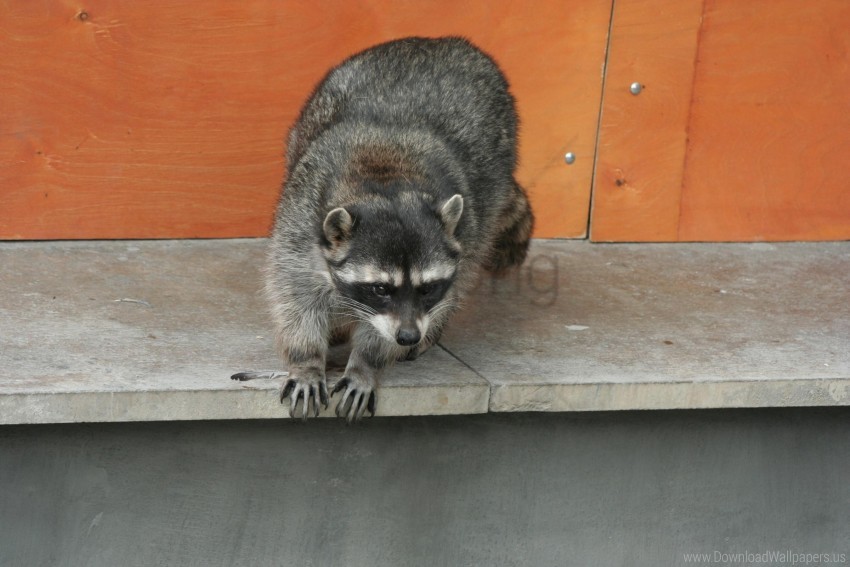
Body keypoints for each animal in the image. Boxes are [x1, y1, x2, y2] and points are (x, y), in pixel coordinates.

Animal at [234, 36, 528, 422]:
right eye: (380, 288)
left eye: (427, 288)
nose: (408, 337)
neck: (385, 179)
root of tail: (446, 42)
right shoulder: (299, 226)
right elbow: (295, 297)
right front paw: (307, 359)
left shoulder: (461, 232)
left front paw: (365, 364)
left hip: (490, 188)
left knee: (469, 267)